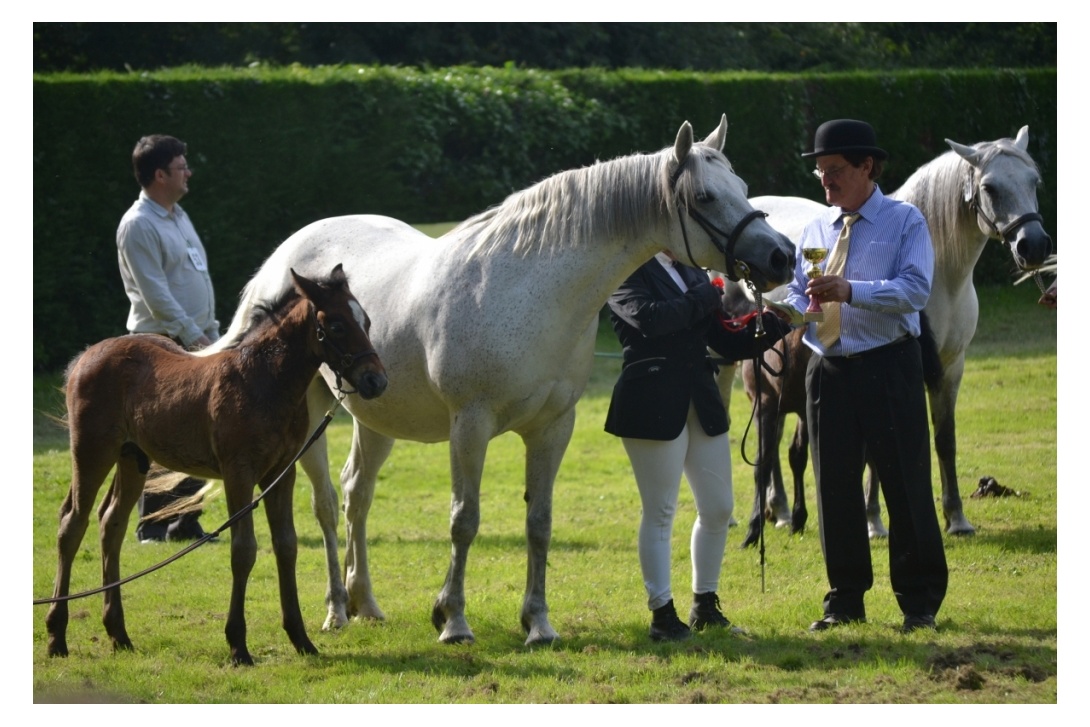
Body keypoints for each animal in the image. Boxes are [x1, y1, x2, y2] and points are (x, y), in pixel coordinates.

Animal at [732, 125, 1046, 544]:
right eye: (990, 188)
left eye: (1034, 181)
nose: (1035, 245)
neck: (941, 275)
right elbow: (874, 454)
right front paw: (873, 520)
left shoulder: (951, 369)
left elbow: (944, 440)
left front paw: (957, 518)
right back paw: (775, 512)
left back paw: (779, 510)